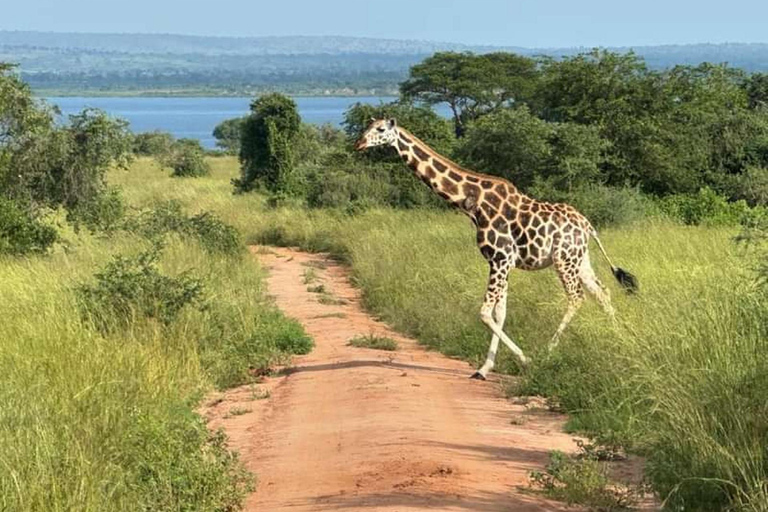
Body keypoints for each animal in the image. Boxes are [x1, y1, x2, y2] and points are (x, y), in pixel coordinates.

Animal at [354, 118, 636, 378]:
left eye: (380, 130)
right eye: (367, 127)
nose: (359, 144)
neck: (472, 202)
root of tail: (587, 225)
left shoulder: (500, 258)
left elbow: (484, 313)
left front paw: (524, 359)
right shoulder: (501, 261)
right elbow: (500, 313)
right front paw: (485, 367)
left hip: (563, 260)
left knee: (577, 297)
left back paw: (548, 351)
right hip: (579, 259)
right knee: (602, 293)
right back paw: (619, 339)